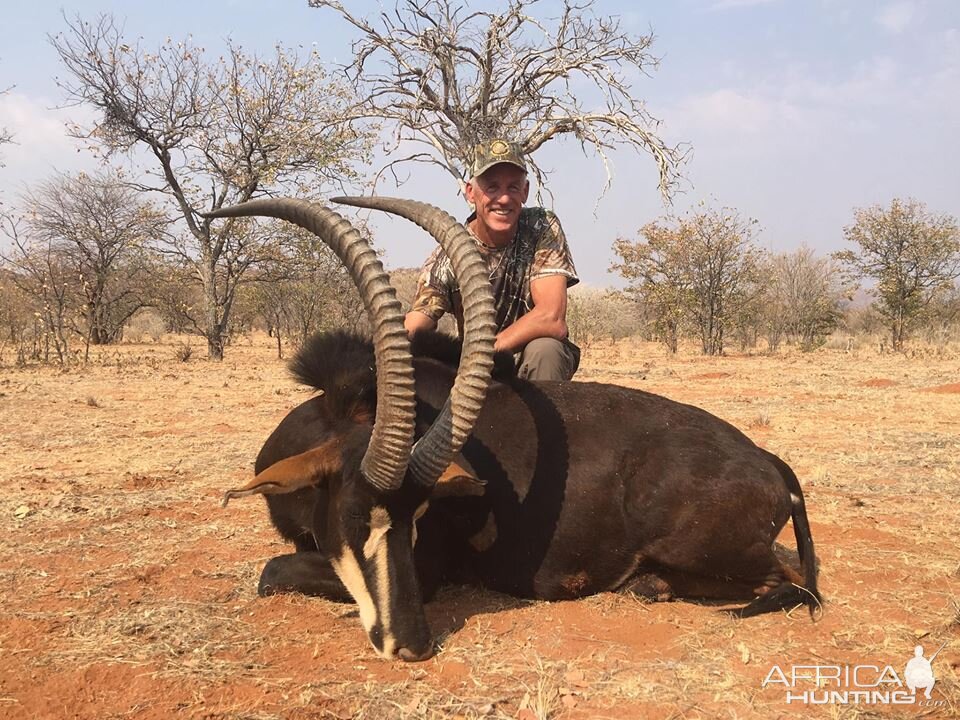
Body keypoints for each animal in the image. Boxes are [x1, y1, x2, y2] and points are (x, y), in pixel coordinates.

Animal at [206, 194, 820, 660]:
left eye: (419, 518)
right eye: (355, 514)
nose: (412, 646)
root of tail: (768, 462)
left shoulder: (429, 570)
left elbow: (269, 570)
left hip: (705, 548)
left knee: (788, 583)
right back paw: (650, 584)